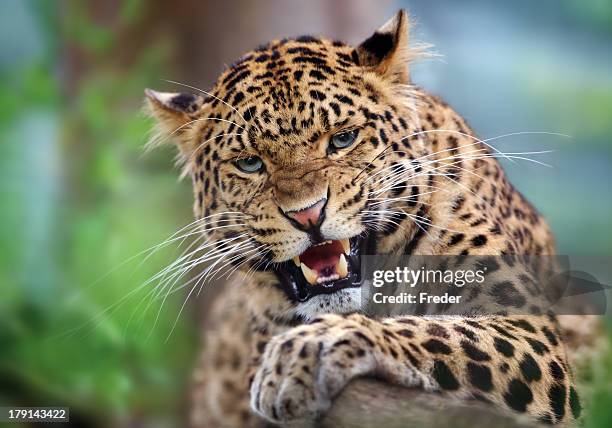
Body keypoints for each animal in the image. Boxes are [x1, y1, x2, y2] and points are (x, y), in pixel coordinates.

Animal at [143, 10, 596, 428]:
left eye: (342, 139)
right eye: (250, 163)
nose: (307, 214)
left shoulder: (527, 331)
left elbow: (437, 329)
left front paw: (311, 348)